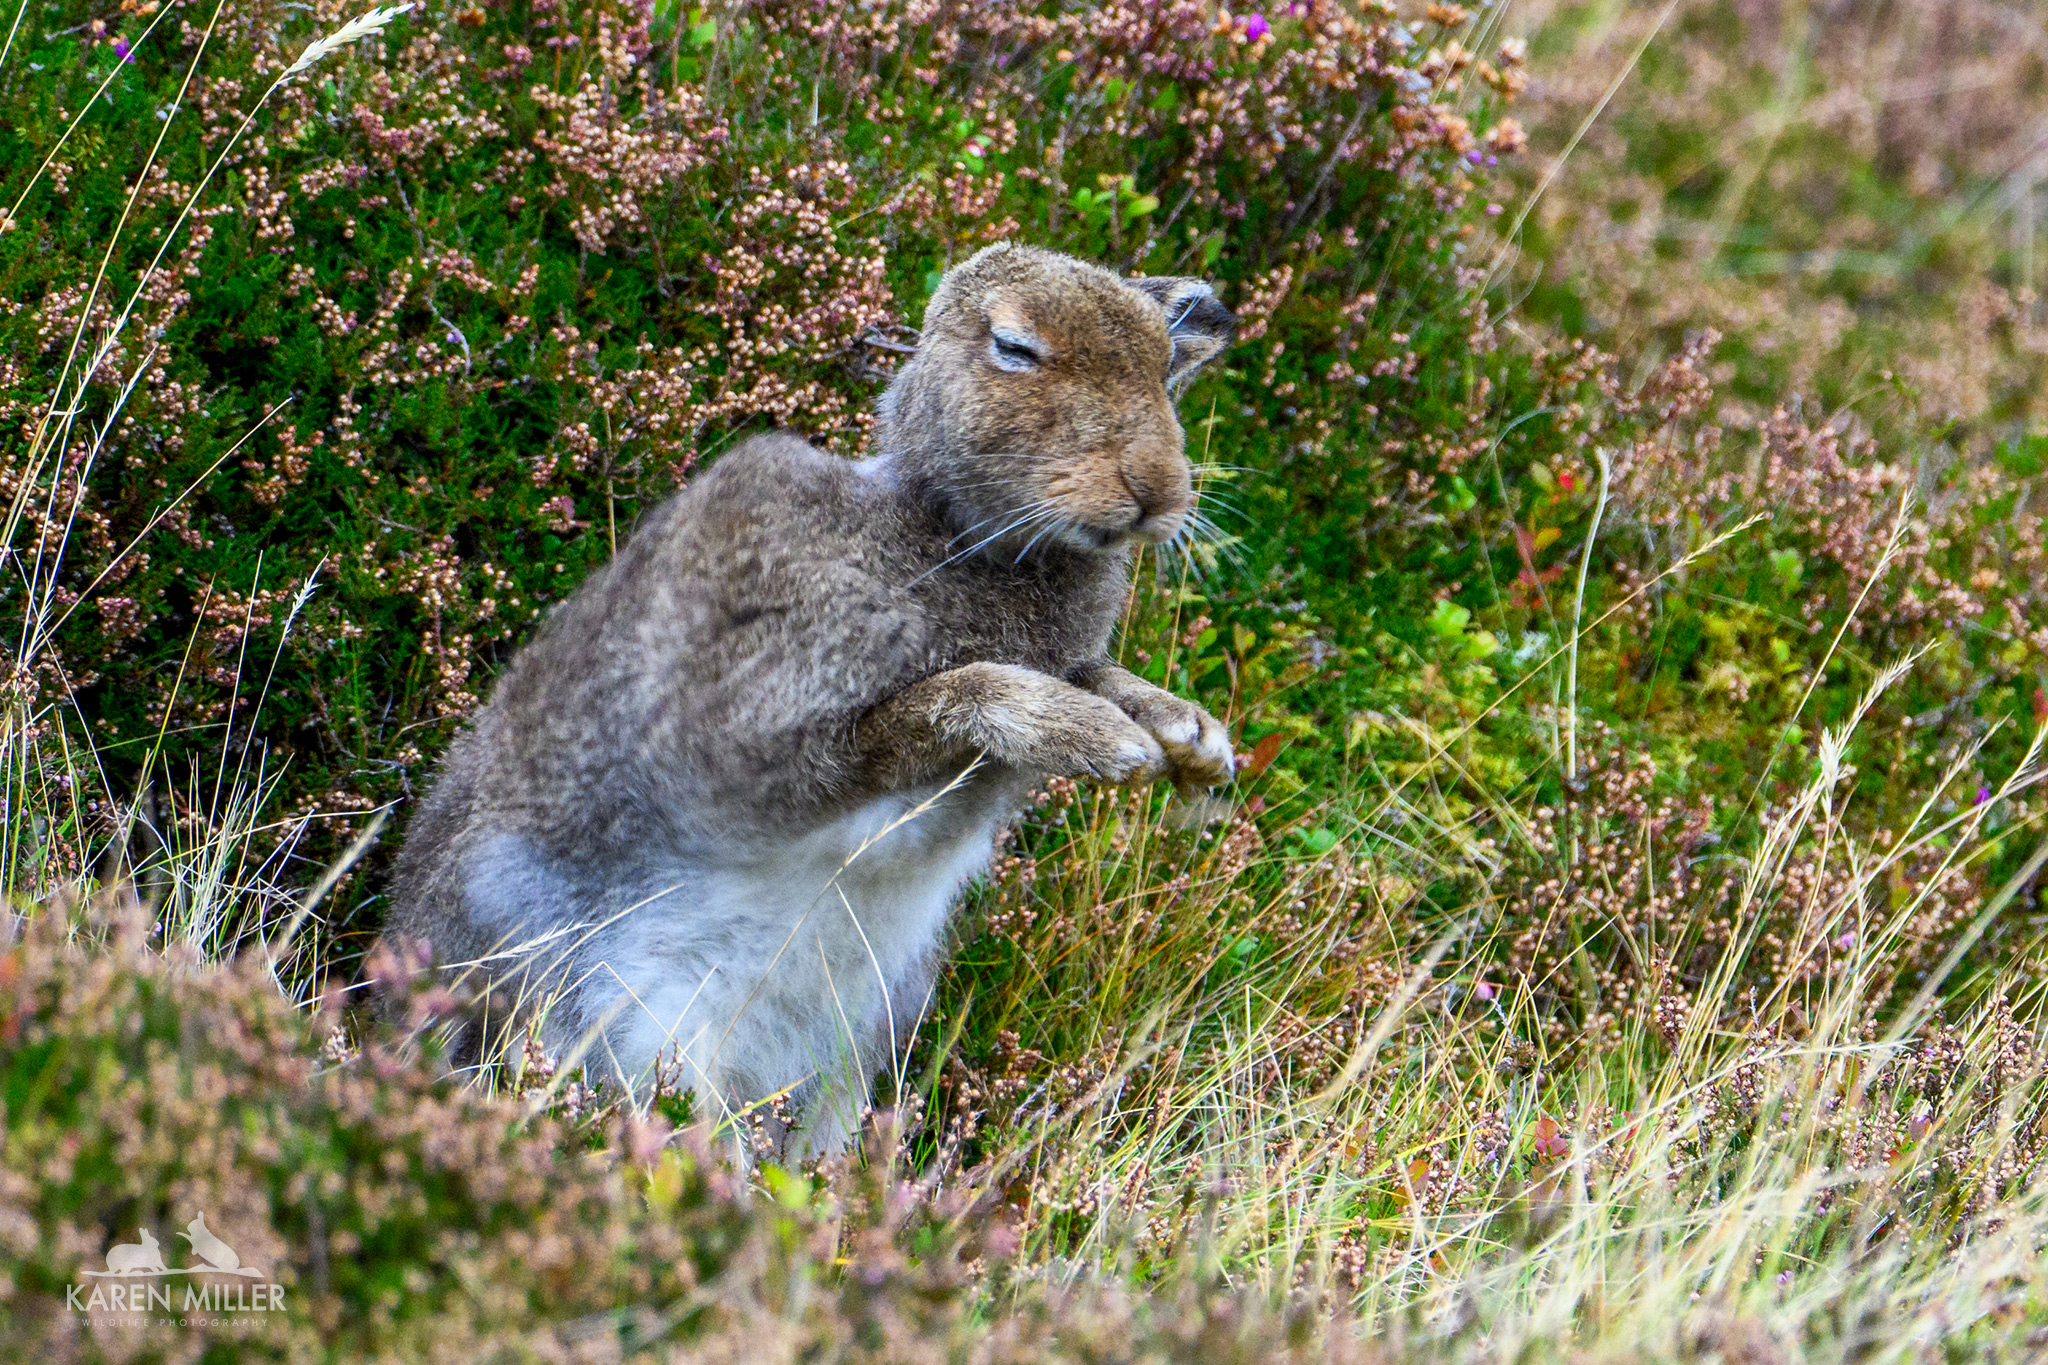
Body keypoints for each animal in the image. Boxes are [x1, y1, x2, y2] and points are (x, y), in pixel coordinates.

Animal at [385, 242, 1237, 1154]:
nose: (1158, 490)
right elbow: (934, 703)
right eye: (1015, 347)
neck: (950, 535)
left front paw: (1194, 741)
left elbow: (1091, 674)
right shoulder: (754, 733)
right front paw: (1096, 736)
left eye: (1160, 363)